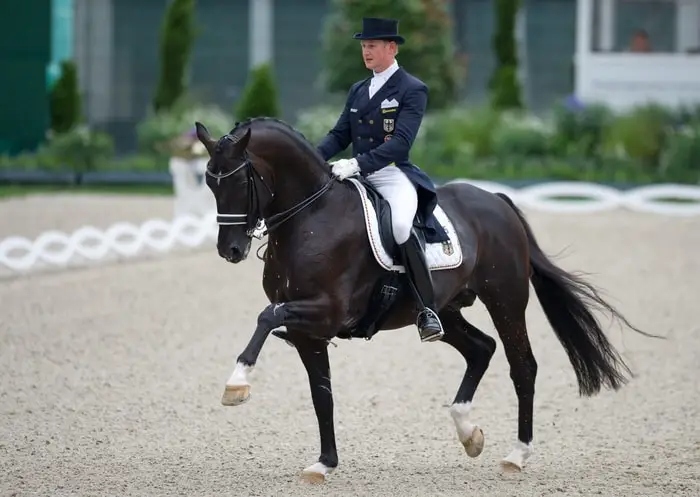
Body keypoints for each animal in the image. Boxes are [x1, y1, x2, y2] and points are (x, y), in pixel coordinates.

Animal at [193, 115, 656, 480]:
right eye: (209, 182)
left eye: (239, 179)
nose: (229, 250)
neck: (310, 217)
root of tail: (497, 200)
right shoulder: (311, 332)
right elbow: (321, 393)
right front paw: (324, 463)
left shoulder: (326, 312)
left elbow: (267, 316)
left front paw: (236, 384)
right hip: (444, 309)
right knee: (481, 348)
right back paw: (469, 433)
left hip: (506, 301)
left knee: (522, 365)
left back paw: (516, 455)